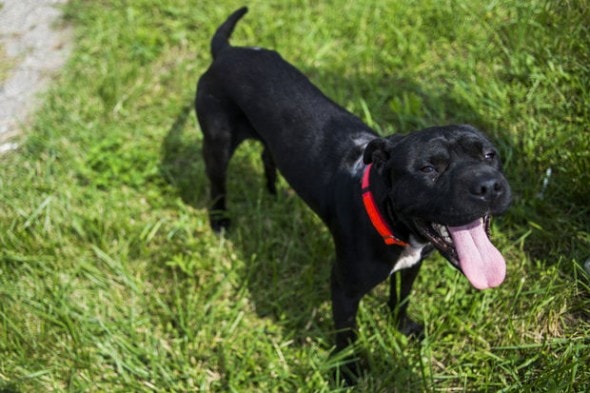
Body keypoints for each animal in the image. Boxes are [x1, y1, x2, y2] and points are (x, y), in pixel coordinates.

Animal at [197, 6, 512, 356]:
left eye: (489, 155)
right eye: (429, 168)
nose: (489, 185)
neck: (393, 225)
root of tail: (227, 51)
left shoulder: (411, 267)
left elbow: (400, 300)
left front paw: (403, 329)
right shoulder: (344, 287)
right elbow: (346, 335)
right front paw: (349, 366)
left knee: (268, 155)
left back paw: (273, 192)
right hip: (217, 142)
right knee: (217, 184)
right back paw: (221, 221)